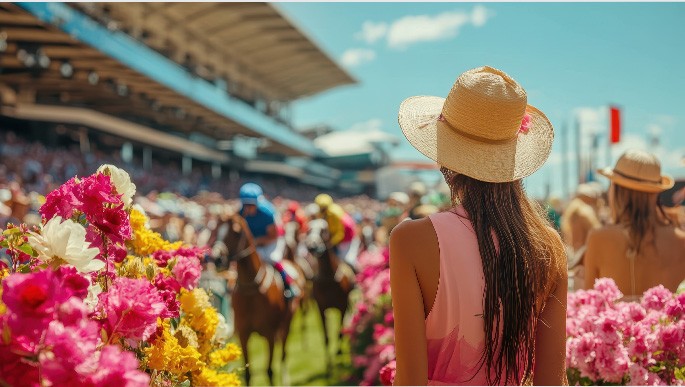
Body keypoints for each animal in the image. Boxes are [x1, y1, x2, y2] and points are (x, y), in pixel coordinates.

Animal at [216, 214, 304, 386]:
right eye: (216, 229)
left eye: (236, 232)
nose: (216, 258)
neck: (251, 289)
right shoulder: (243, 333)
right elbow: (248, 373)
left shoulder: (269, 333)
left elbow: (269, 370)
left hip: (287, 323)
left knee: (283, 354)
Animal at [306, 218, 358, 372]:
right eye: (308, 230)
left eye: (324, 230)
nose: (311, 246)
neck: (328, 277)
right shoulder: (321, 307)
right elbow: (326, 336)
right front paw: (329, 366)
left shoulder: (342, 305)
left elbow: (339, 332)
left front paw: (339, 353)